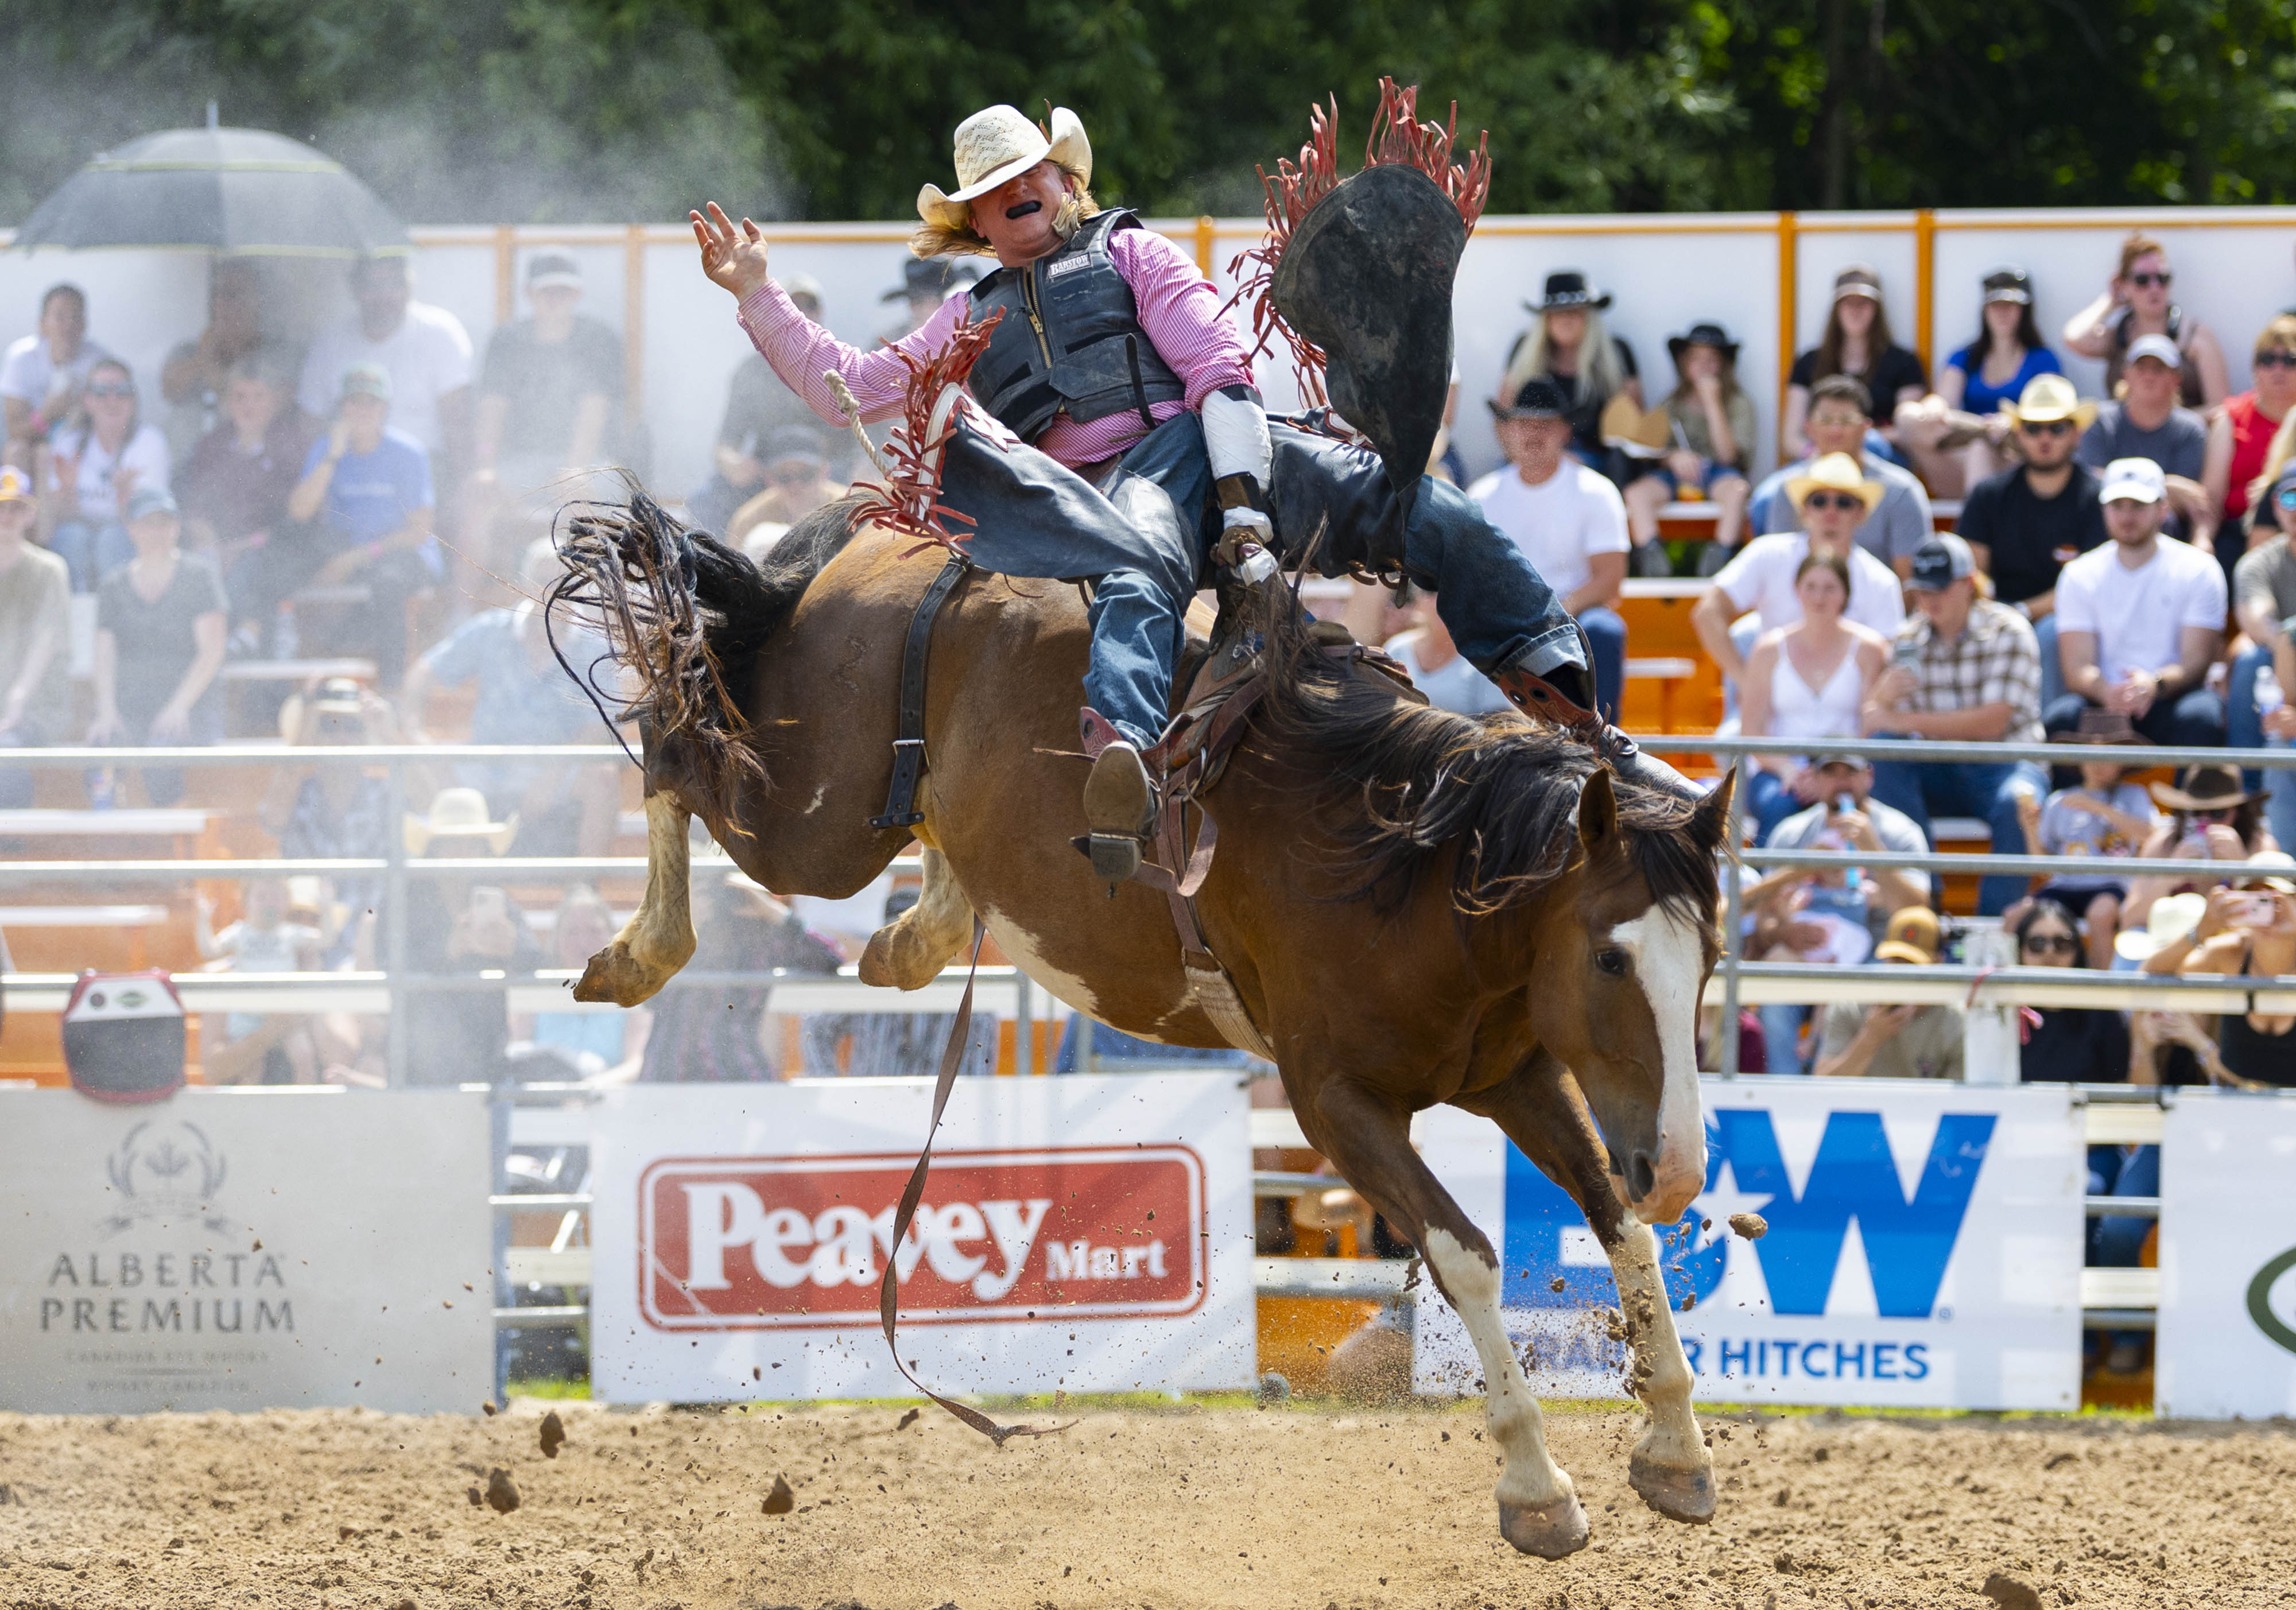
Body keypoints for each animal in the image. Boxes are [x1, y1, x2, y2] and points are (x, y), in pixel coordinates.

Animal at [560, 498, 1727, 1561]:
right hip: (813, 821)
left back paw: (913, 938)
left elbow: (1621, 1229)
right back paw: (638, 950)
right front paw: (1537, 1486)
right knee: (679, 737)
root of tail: (889, 539)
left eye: (1709, 959)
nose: (1676, 1167)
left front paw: (1678, 1452)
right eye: (1611, 958)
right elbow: (1466, 1256)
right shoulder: (1337, 1106)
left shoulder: (1516, 1075)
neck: (1408, 867)